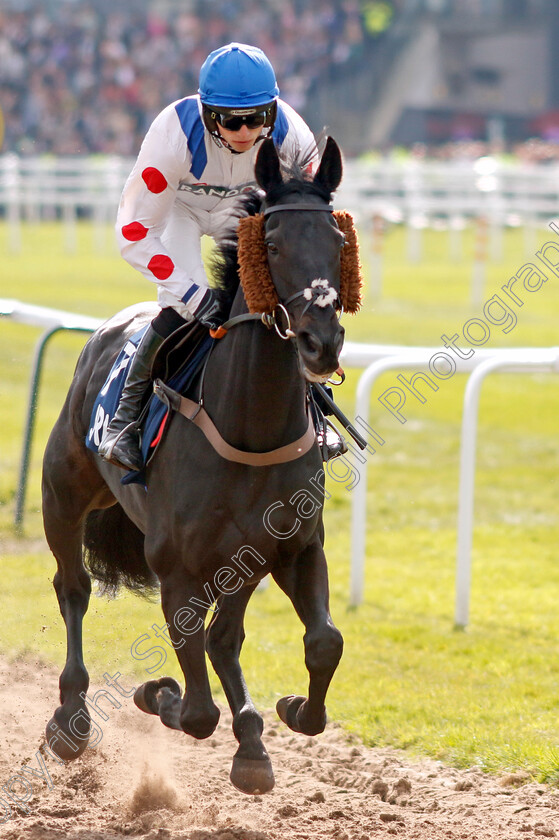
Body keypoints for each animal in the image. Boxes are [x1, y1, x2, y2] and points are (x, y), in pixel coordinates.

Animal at [40, 136, 364, 796]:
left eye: (338, 242)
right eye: (272, 244)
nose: (321, 344)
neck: (250, 427)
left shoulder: (290, 548)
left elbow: (323, 641)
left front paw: (291, 712)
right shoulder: (176, 566)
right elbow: (193, 710)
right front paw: (156, 691)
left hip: (240, 560)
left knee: (225, 638)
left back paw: (252, 740)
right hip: (63, 494)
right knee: (74, 589)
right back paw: (71, 717)